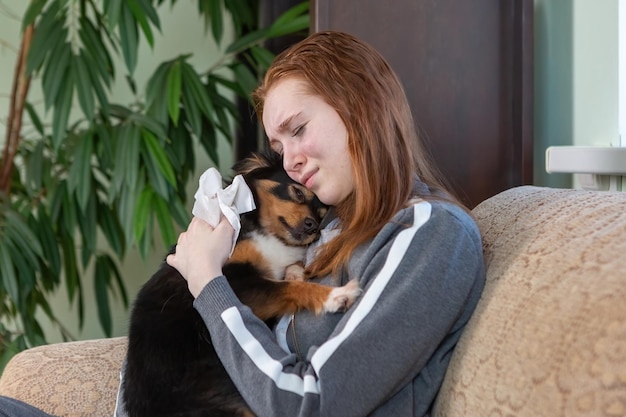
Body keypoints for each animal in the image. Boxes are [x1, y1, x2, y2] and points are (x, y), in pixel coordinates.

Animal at [121, 152, 358, 416]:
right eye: (297, 192)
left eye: (322, 213)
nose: (313, 227)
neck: (267, 233)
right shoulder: (237, 283)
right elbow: (290, 288)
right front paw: (334, 296)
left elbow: (290, 275)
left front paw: (297, 272)